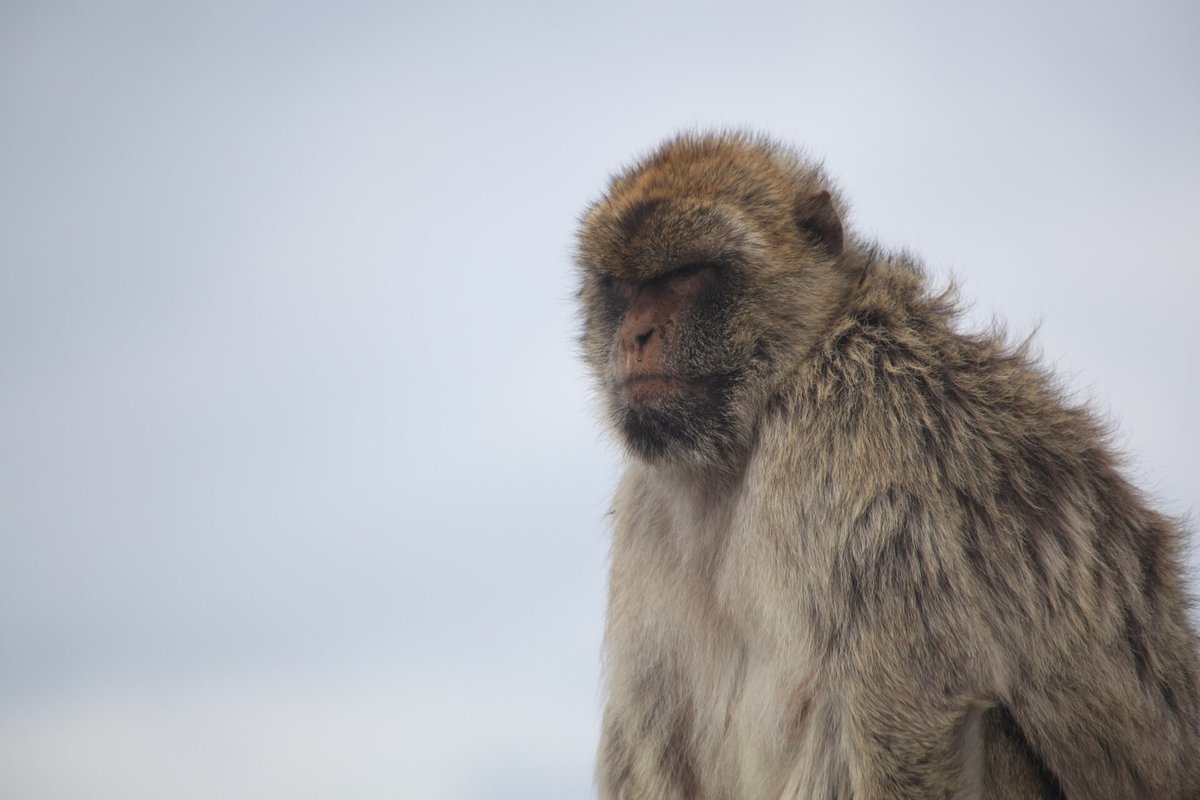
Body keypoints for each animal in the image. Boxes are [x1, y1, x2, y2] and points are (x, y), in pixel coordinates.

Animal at [575, 132, 1200, 799]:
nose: (637, 334)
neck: (755, 421)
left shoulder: (858, 428)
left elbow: (913, 715)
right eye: (624, 287)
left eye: (686, 273)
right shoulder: (648, 499)